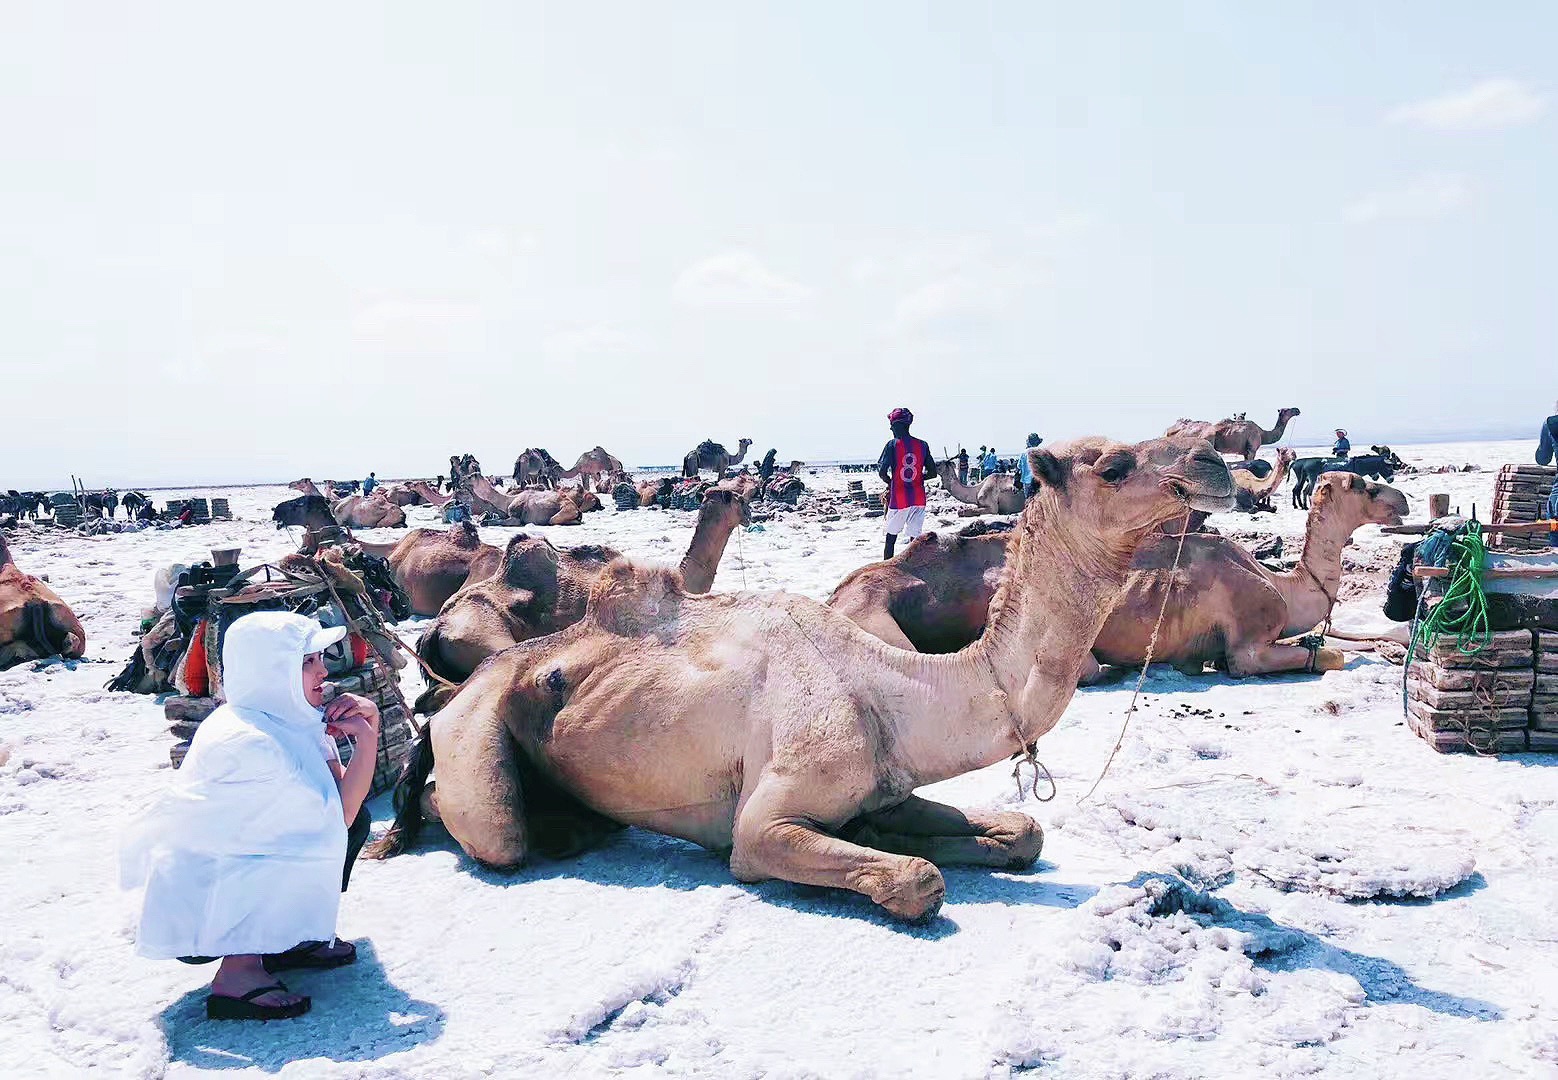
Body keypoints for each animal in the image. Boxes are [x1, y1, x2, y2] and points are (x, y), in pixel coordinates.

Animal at [1171, 402, 1302, 458]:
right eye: (1287, 410)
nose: (1297, 409)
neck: (1263, 434)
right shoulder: (1252, 449)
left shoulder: (1245, 452)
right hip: (1207, 440)